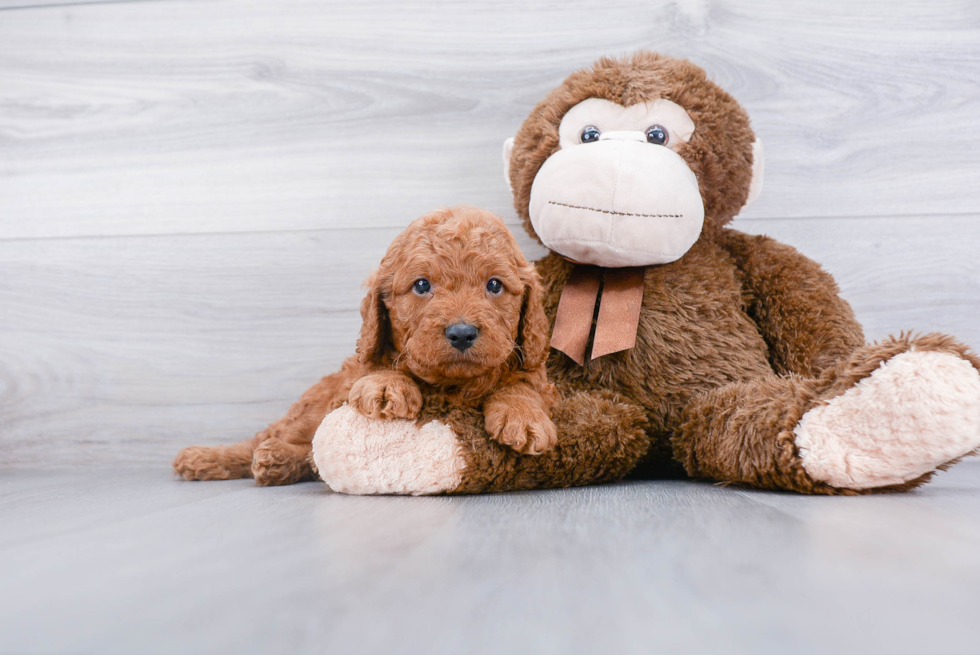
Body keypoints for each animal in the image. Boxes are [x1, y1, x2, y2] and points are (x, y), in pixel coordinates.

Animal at [175, 206, 556, 486]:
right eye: (421, 285)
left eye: (494, 285)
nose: (462, 333)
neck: (452, 387)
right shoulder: (358, 372)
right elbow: (378, 365)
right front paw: (388, 385)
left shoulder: (535, 367)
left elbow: (521, 384)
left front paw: (522, 416)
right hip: (310, 408)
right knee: (271, 438)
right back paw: (211, 458)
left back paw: (275, 462)